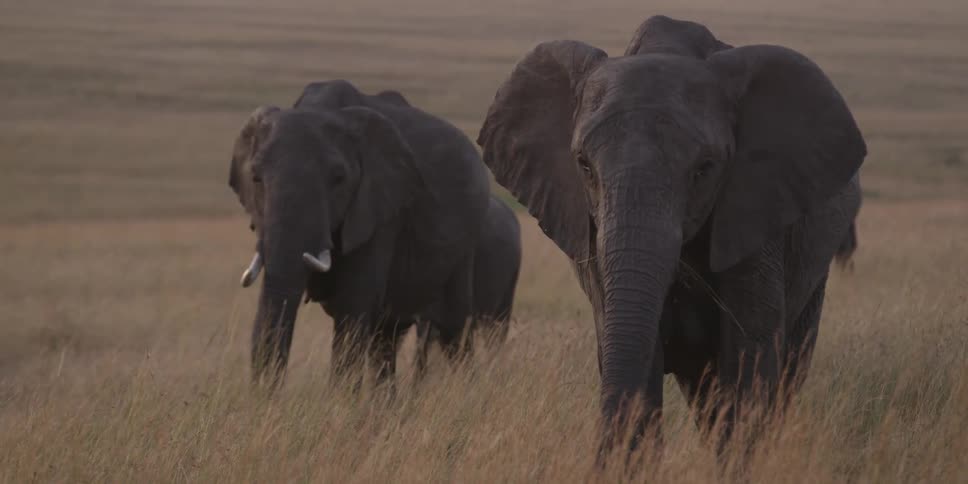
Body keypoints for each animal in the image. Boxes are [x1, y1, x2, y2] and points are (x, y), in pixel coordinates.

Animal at [229, 80, 491, 387]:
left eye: (338, 179)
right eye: (255, 177)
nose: (265, 397)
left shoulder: (379, 209)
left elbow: (351, 305)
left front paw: (339, 400)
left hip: (467, 243)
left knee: (453, 327)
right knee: (386, 337)